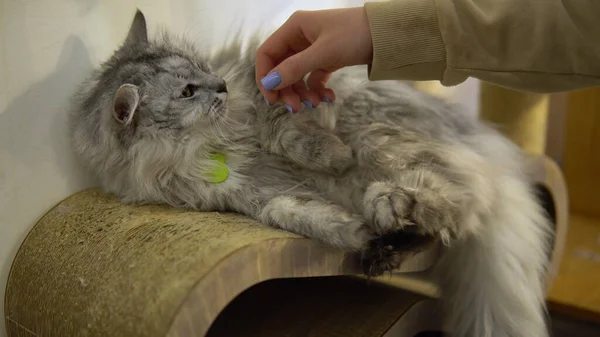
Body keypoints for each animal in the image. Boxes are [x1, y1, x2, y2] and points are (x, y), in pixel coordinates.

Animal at [69, 9, 552, 336]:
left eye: (202, 69)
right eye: (187, 91)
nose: (220, 85)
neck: (201, 149)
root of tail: (479, 140)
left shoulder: (277, 100)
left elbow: (287, 136)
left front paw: (333, 156)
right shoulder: (255, 198)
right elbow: (302, 214)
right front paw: (356, 233)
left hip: (381, 139)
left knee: (466, 198)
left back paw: (392, 203)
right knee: (451, 210)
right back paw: (385, 238)